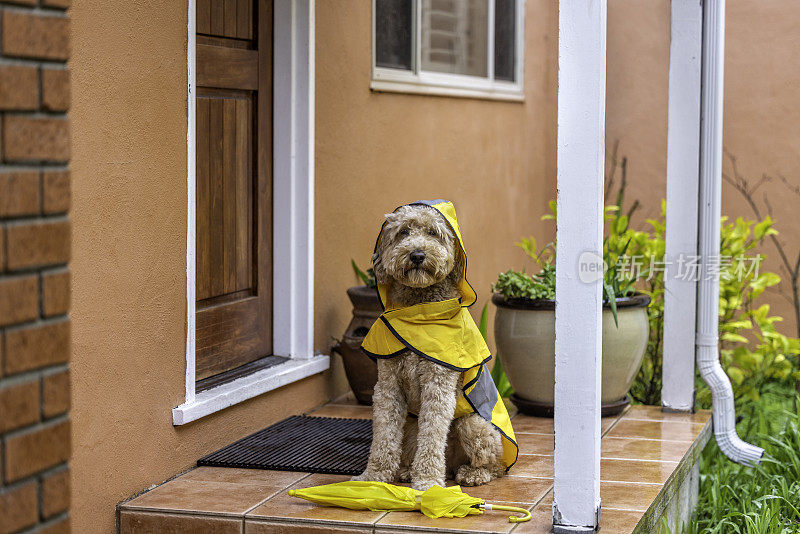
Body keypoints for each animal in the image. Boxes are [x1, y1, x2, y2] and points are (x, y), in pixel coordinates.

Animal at [356, 202, 520, 494]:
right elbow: (384, 434)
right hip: (411, 424)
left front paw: (429, 482)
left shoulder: (438, 383)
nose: (417, 255)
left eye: (433, 232)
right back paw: (407, 470)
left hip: (473, 424)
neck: (419, 310)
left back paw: (472, 474)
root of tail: (453, 465)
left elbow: (432, 435)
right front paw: (374, 476)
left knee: (496, 466)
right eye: (404, 231)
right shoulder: (388, 384)